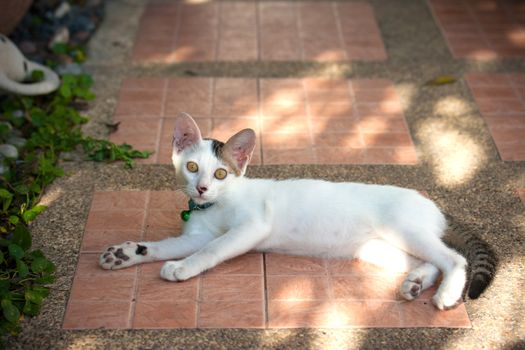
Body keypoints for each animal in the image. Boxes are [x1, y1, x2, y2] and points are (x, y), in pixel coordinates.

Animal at [100, 112, 494, 308]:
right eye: (192, 167)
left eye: (221, 173)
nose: (201, 188)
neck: (214, 205)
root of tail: (433, 204)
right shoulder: (196, 233)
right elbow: (167, 245)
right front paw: (128, 253)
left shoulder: (251, 227)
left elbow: (211, 249)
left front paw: (183, 267)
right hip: (377, 248)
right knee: (430, 261)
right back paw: (415, 283)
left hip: (404, 229)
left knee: (454, 258)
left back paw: (446, 295)